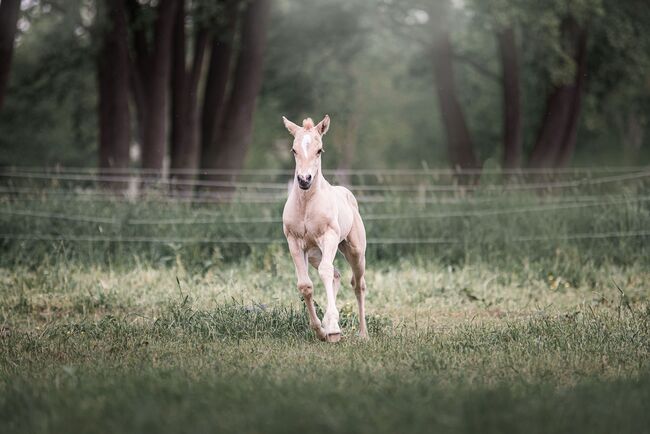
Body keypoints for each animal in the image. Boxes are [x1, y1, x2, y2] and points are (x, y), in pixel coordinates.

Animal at [280, 114, 368, 342]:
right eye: (293, 149)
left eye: (319, 150)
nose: (304, 180)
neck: (307, 205)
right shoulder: (294, 243)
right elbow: (305, 285)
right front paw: (321, 330)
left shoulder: (329, 237)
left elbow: (325, 272)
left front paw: (334, 330)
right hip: (314, 254)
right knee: (336, 275)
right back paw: (330, 325)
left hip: (355, 251)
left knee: (358, 285)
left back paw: (363, 333)